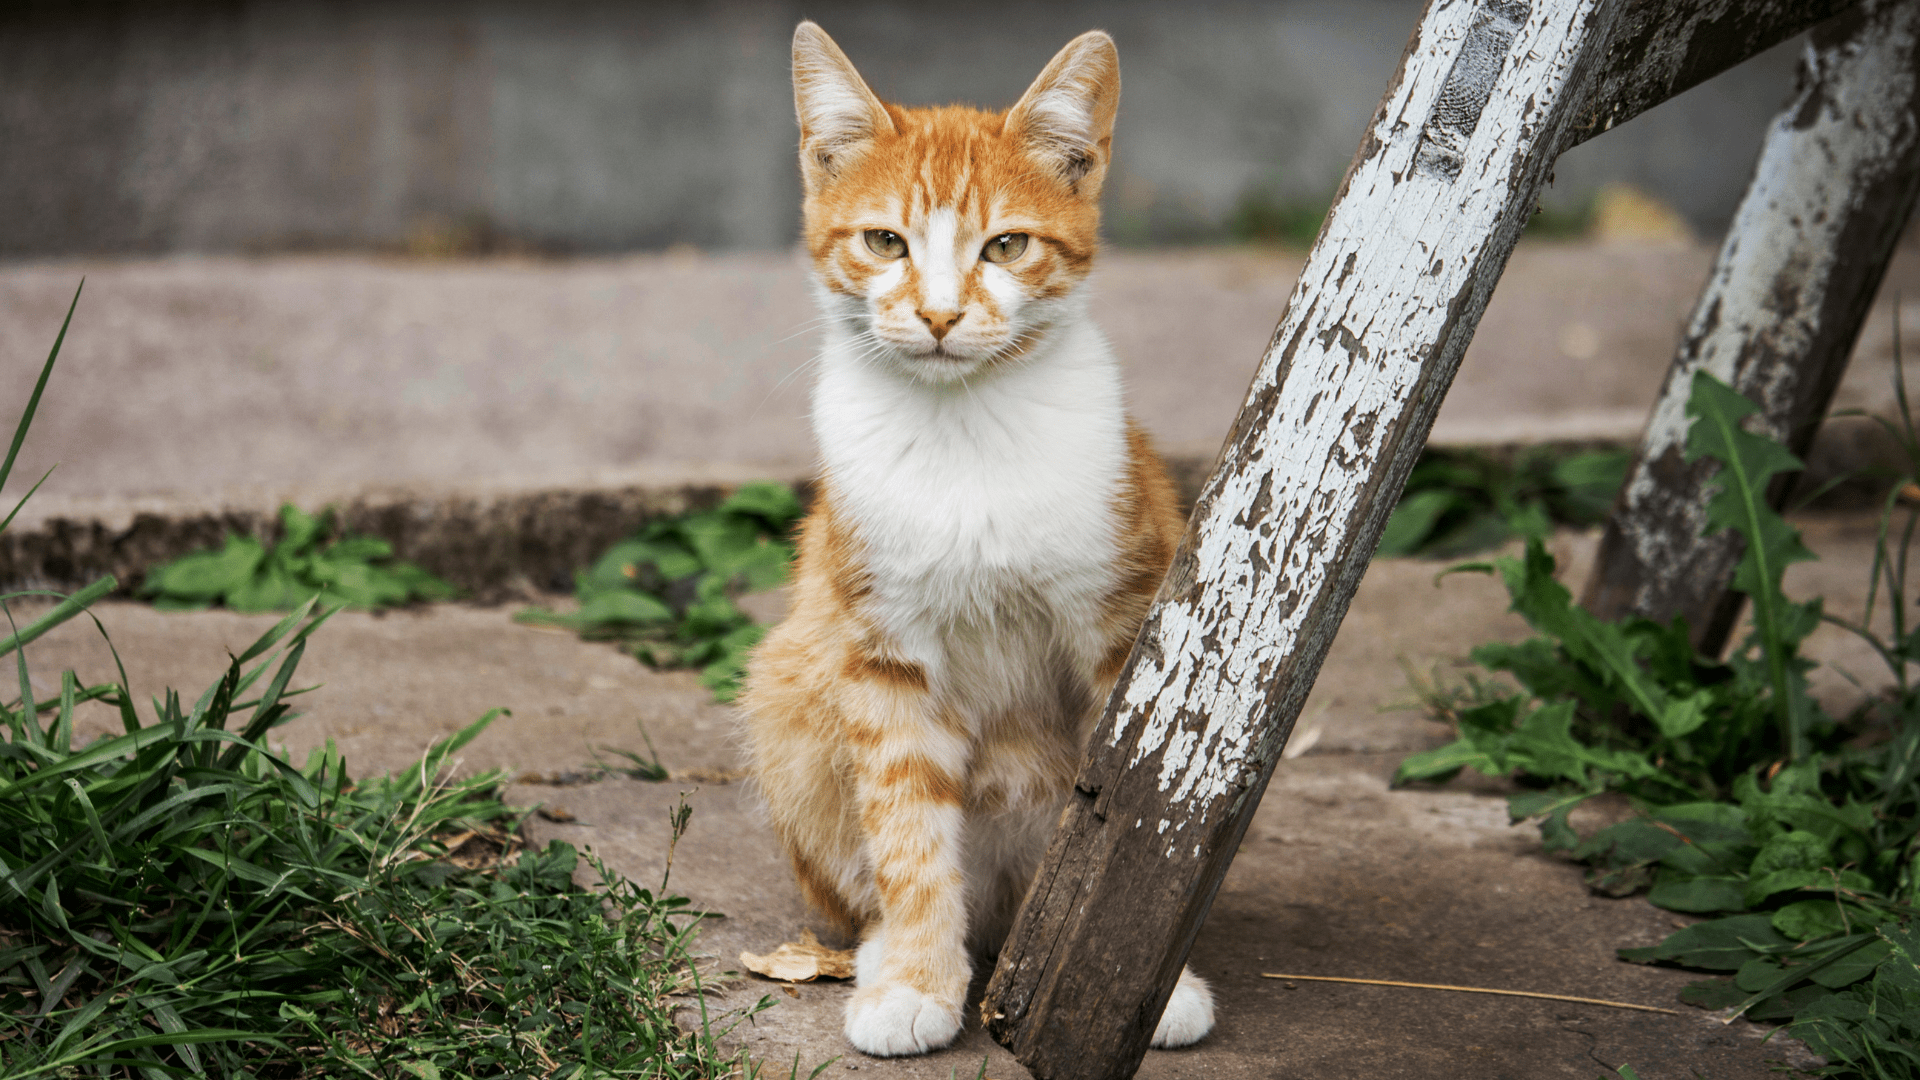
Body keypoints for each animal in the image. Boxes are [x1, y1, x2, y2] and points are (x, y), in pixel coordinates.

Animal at [737, 21, 1213, 1053]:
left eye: (1007, 245)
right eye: (885, 241)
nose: (941, 314)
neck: (965, 434)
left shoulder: (1124, 630)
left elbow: (1122, 815)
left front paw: (1116, 981)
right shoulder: (881, 649)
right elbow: (908, 827)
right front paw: (919, 979)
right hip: (789, 681)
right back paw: (892, 952)